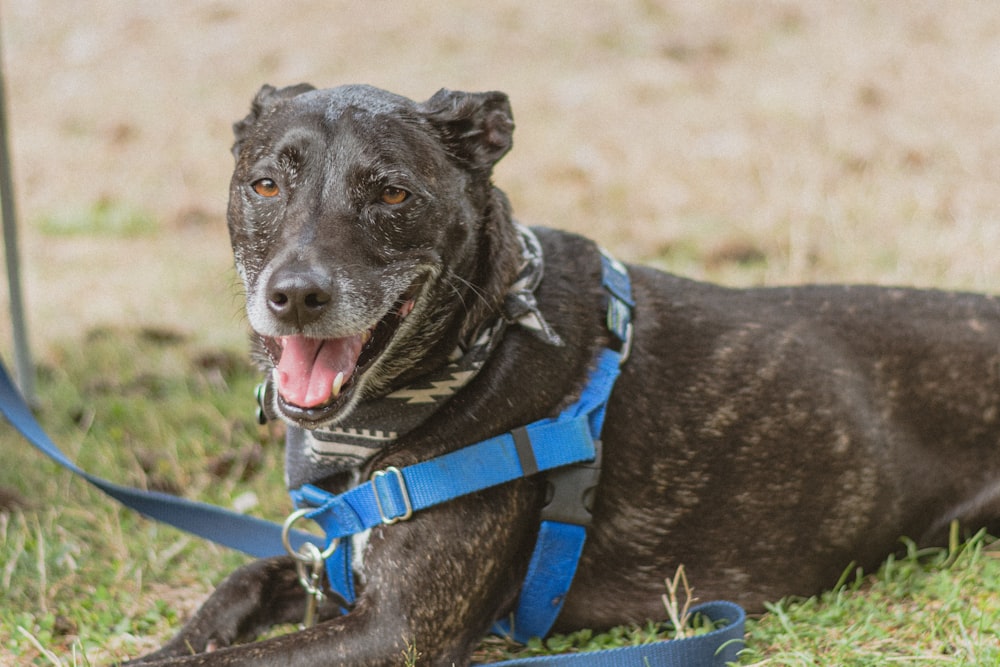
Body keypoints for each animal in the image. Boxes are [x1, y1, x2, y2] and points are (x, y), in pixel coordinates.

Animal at [131, 82, 1000, 664]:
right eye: (265, 183)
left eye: (393, 193)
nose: (296, 295)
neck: (480, 345)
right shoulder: (332, 571)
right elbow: (235, 588)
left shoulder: (397, 628)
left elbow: (227, 660)